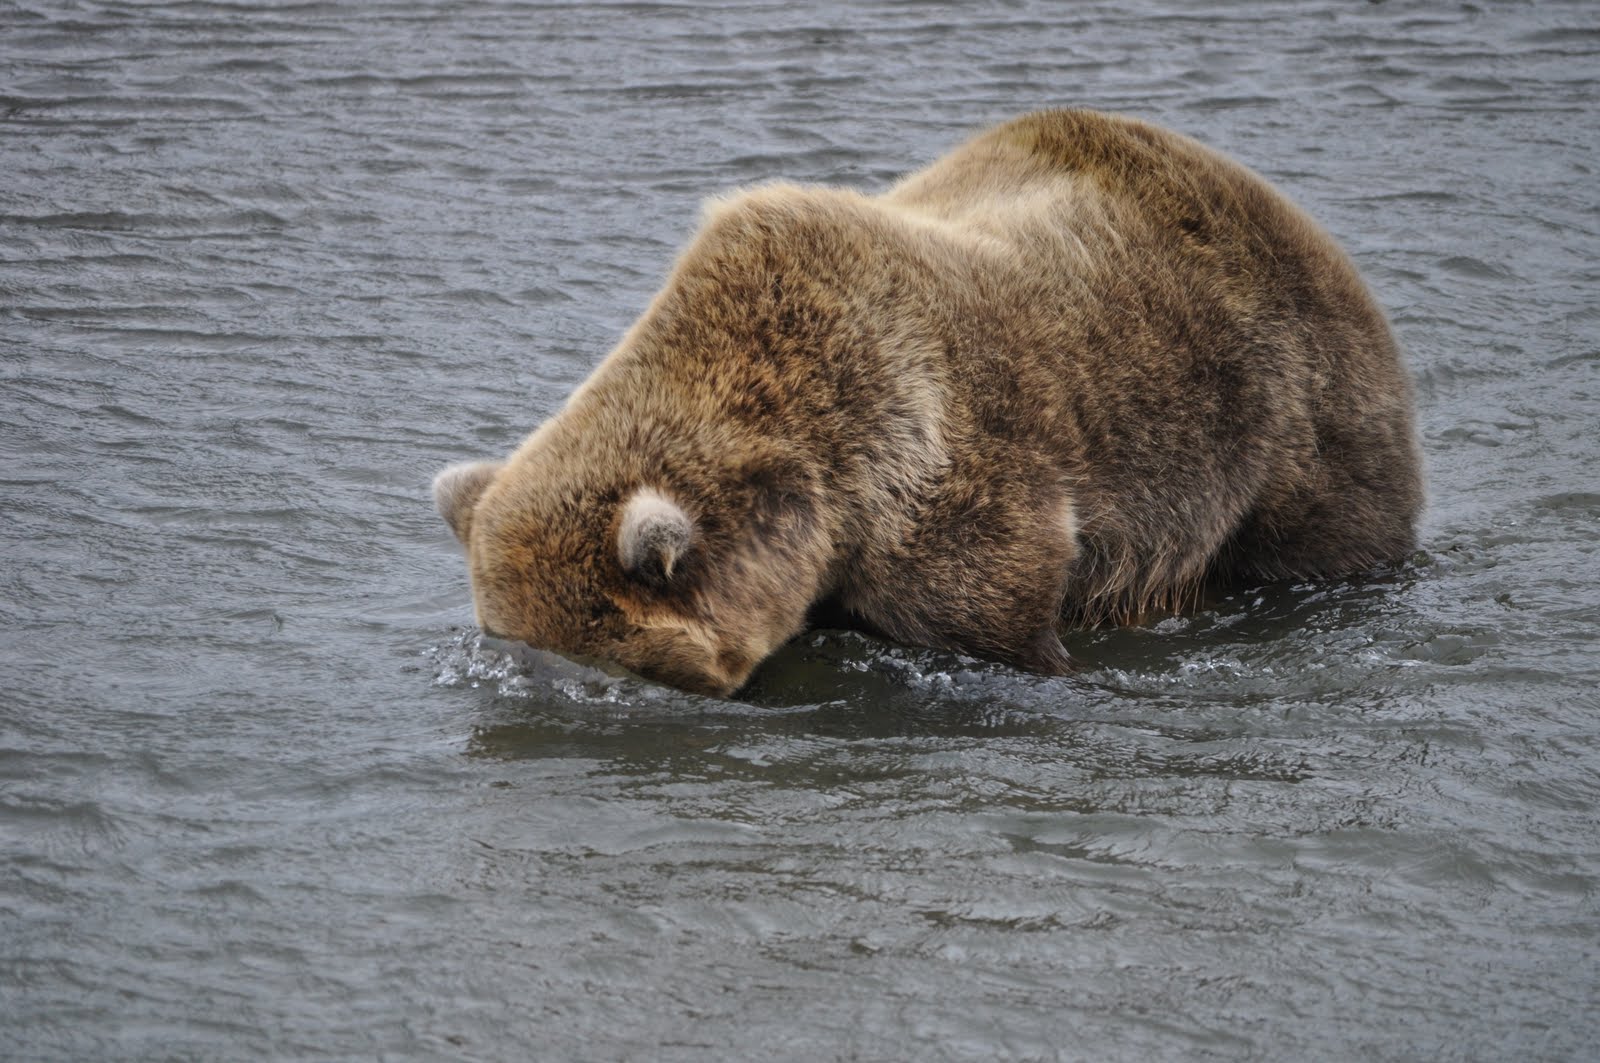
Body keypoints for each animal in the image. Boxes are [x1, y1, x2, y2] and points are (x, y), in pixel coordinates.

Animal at [434, 108, 1424, 697]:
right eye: (506, 640)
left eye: (609, 660)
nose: (542, 684)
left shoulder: (940, 465)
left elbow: (999, 610)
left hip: (1288, 418)